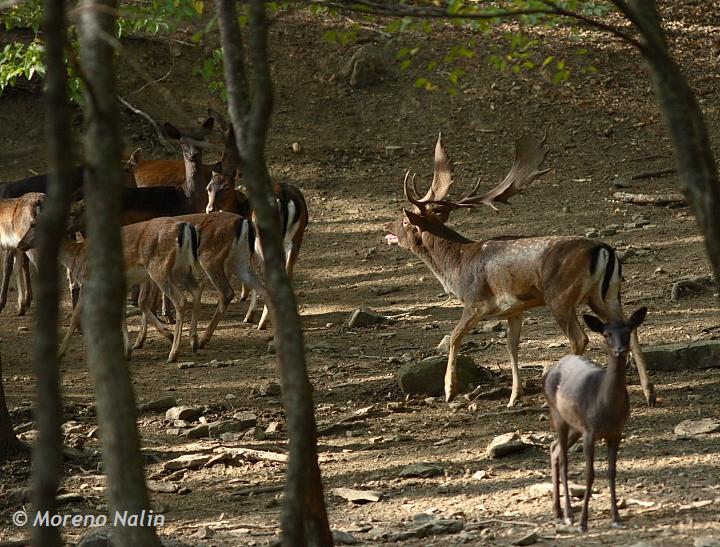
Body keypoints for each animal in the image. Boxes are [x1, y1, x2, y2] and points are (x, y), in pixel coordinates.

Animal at [386, 132, 656, 406]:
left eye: (405, 221)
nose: (386, 225)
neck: (456, 266)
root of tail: (604, 249)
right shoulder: (514, 310)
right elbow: (512, 347)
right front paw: (514, 397)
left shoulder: (475, 301)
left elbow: (454, 337)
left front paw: (450, 390)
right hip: (605, 295)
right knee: (630, 326)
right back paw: (649, 393)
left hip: (560, 295)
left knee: (579, 338)